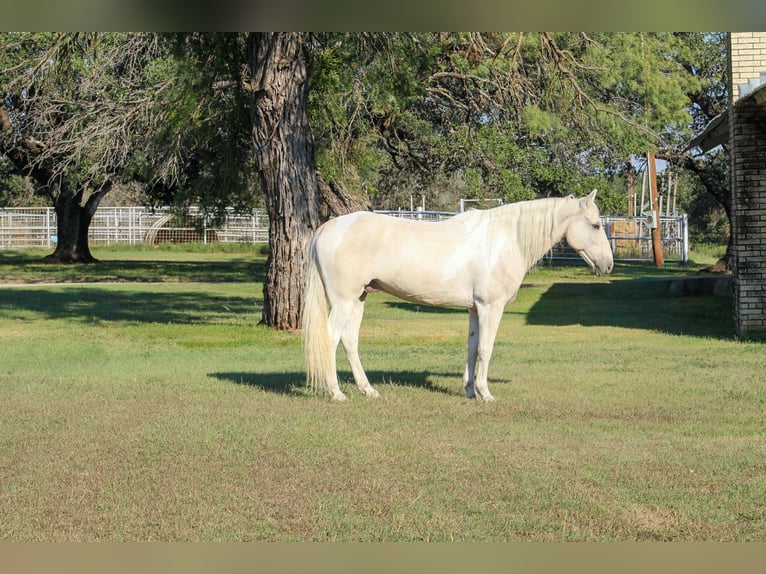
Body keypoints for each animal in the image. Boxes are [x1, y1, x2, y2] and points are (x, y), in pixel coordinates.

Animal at [302, 189, 614, 401]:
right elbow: (486, 348)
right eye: (596, 225)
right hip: (343, 301)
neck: (503, 240)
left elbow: (472, 347)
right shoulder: (490, 308)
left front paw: (469, 390)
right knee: (331, 339)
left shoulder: (475, 309)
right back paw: (336, 392)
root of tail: (329, 226)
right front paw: (485, 393)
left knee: (350, 341)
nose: (608, 265)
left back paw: (368, 389)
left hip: (358, 299)